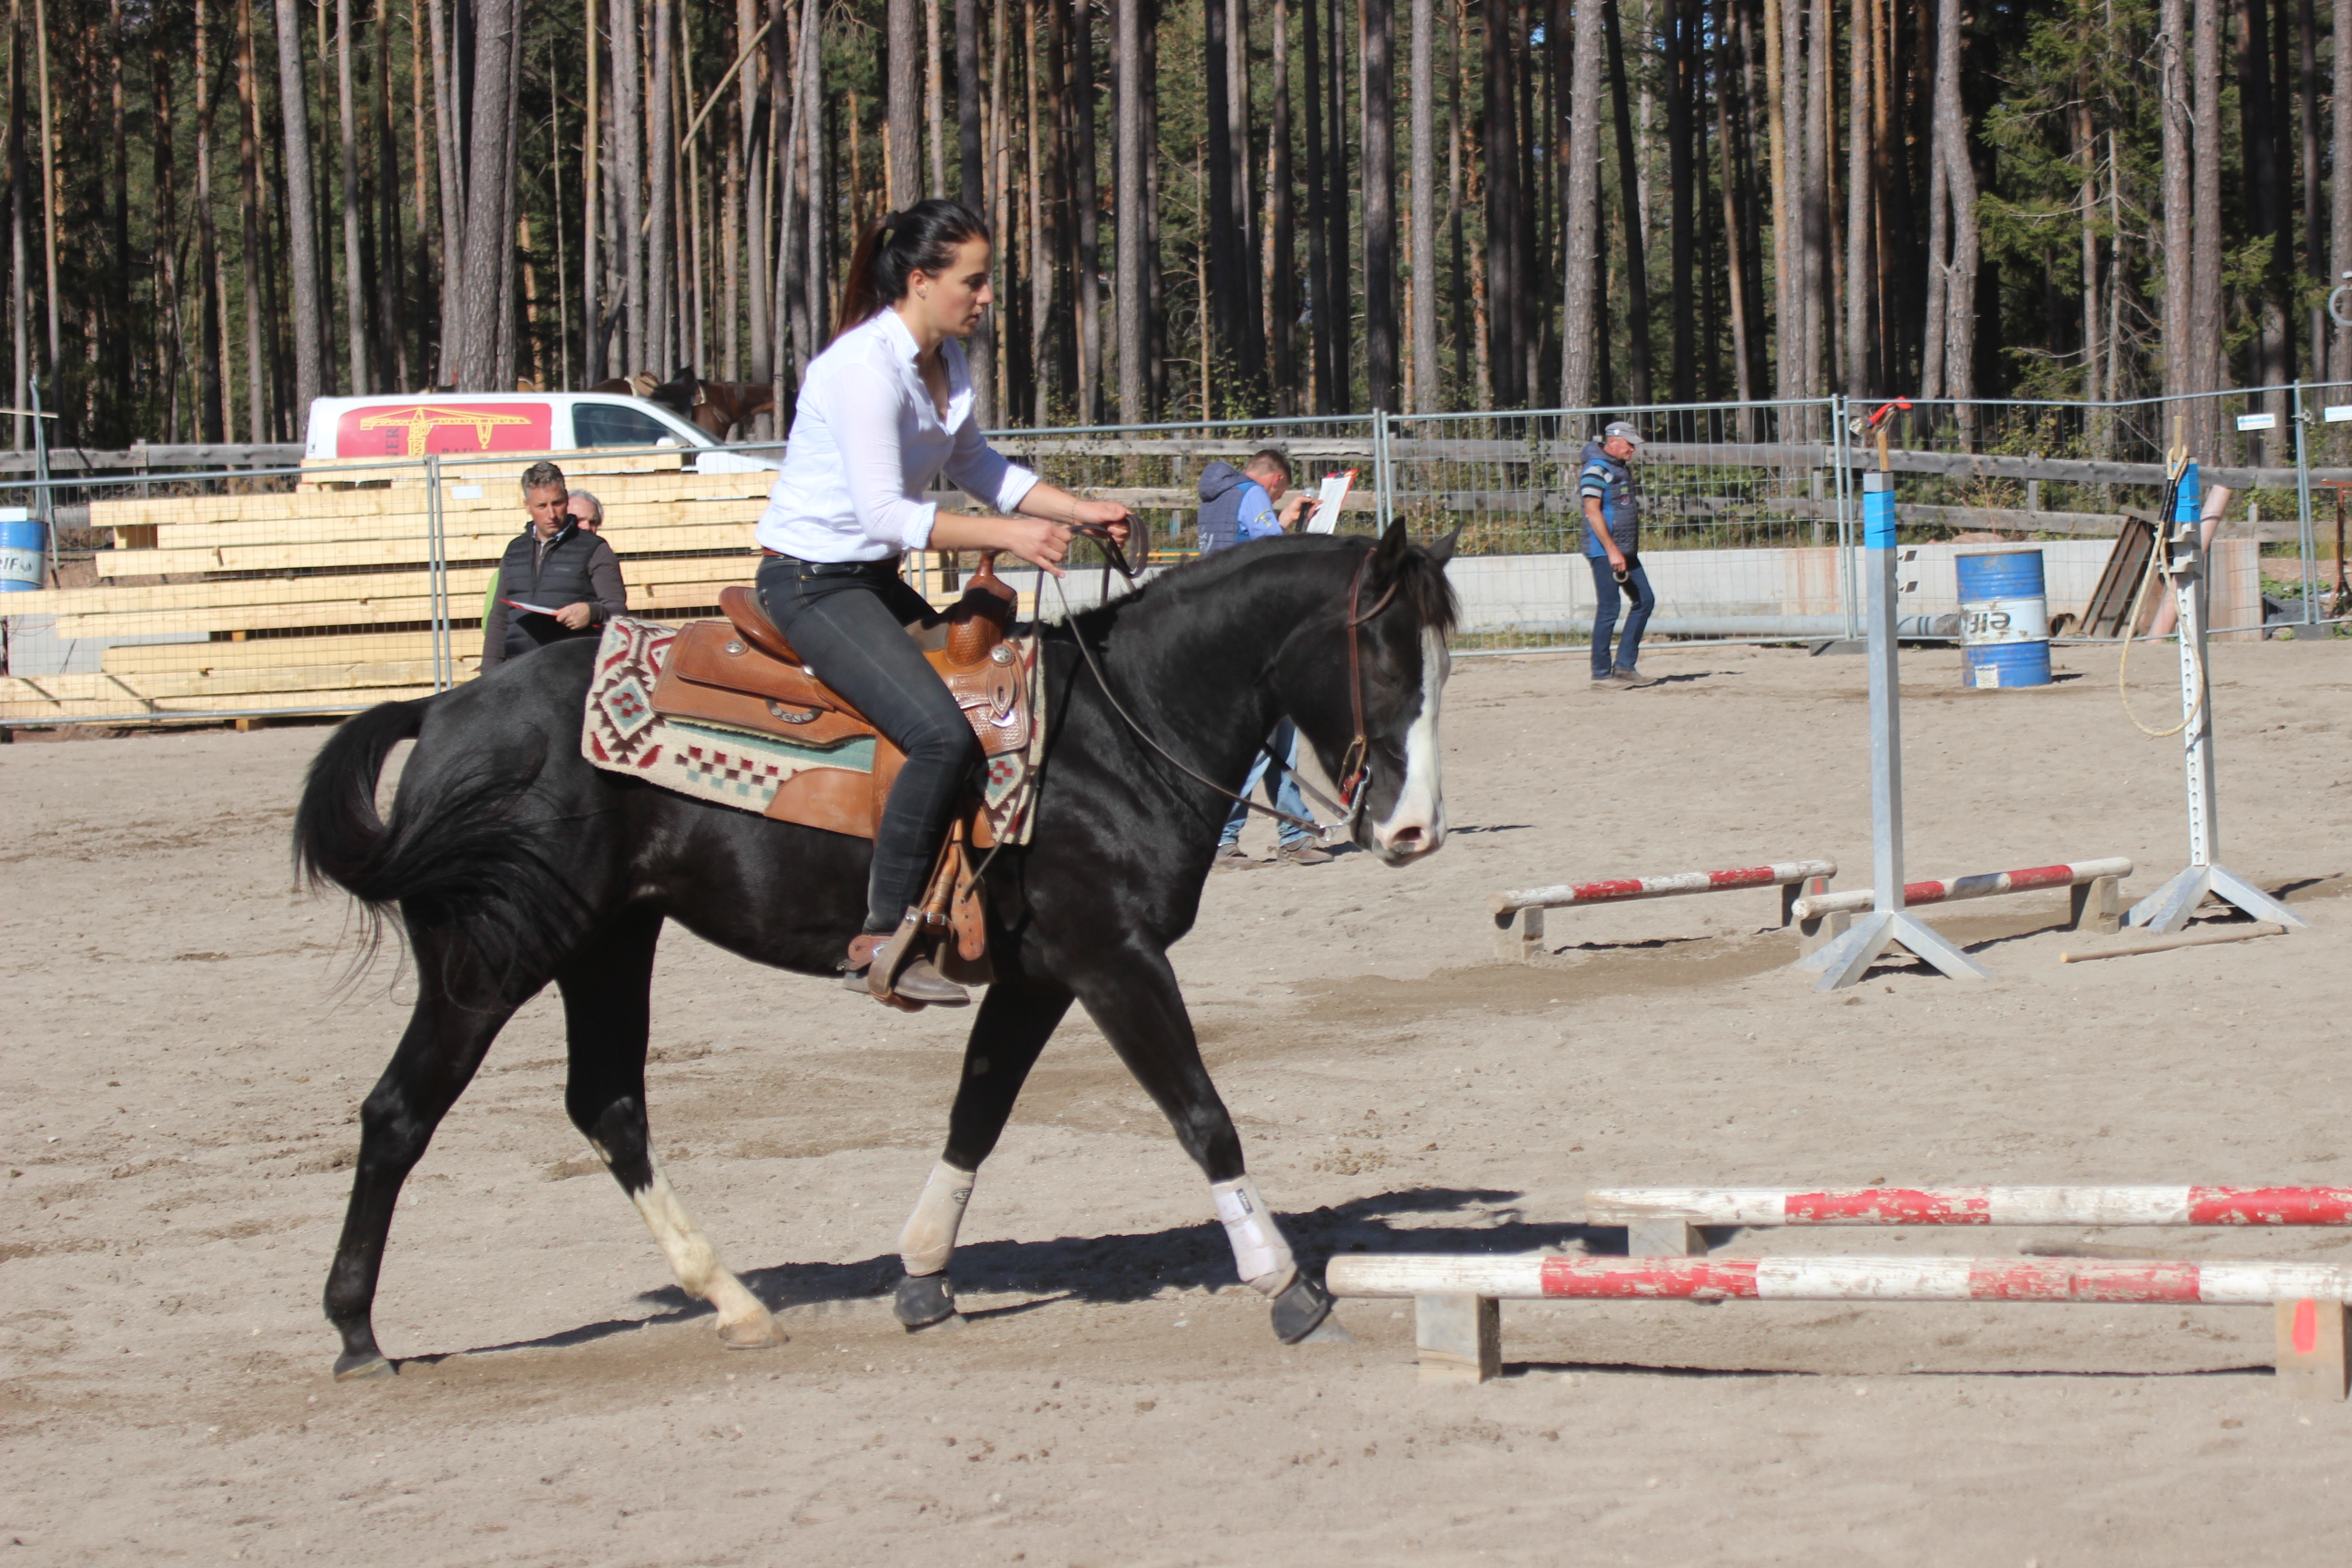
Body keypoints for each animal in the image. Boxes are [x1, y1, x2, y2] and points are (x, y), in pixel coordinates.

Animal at [293, 523, 1458, 1380]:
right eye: (1388, 660)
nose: (1413, 833)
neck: (1112, 737)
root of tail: (447, 709)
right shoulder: (1114, 960)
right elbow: (1201, 1115)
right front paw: (1289, 1287)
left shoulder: (1039, 978)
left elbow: (977, 1112)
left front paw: (925, 1275)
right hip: (494, 957)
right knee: (399, 1113)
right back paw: (356, 1335)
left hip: (611, 942)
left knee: (608, 1106)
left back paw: (735, 1303)